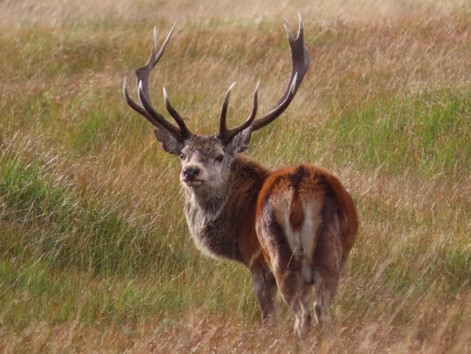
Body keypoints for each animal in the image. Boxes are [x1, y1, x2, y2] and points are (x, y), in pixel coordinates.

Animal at [122, 15, 358, 338]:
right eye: (183, 154)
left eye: (219, 156)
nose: (190, 171)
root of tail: (300, 191)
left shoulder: (256, 262)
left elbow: (268, 316)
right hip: (329, 256)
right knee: (323, 313)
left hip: (281, 256)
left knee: (303, 316)